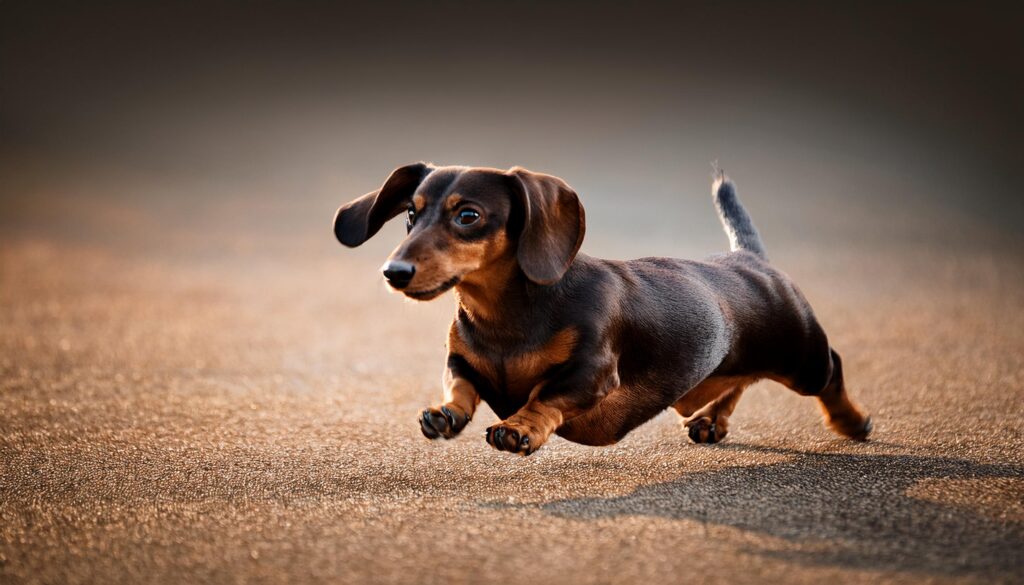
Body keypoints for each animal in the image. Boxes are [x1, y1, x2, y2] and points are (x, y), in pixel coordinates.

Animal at [335, 162, 872, 454]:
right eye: (411, 213)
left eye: (468, 215)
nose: (393, 272)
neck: (506, 315)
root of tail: (750, 258)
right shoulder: (461, 358)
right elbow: (460, 384)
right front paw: (446, 414)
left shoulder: (592, 371)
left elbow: (546, 395)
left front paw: (519, 427)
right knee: (735, 380)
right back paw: (710, 420)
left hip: (802, 359)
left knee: (832, 370)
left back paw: (853, 422)